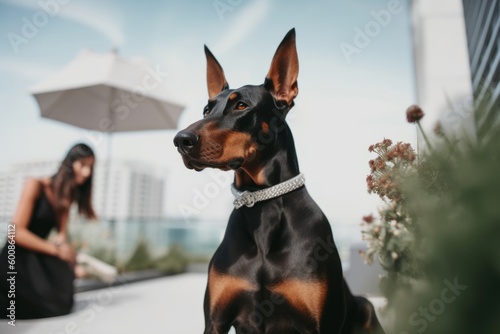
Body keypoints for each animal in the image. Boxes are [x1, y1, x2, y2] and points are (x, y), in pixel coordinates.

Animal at [174, 28, 384, 334]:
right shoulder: (215, 320)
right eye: (206, 110)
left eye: (241, 105)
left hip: (366, 307)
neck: (262, 206)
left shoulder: (321, 323)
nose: (180, 140)